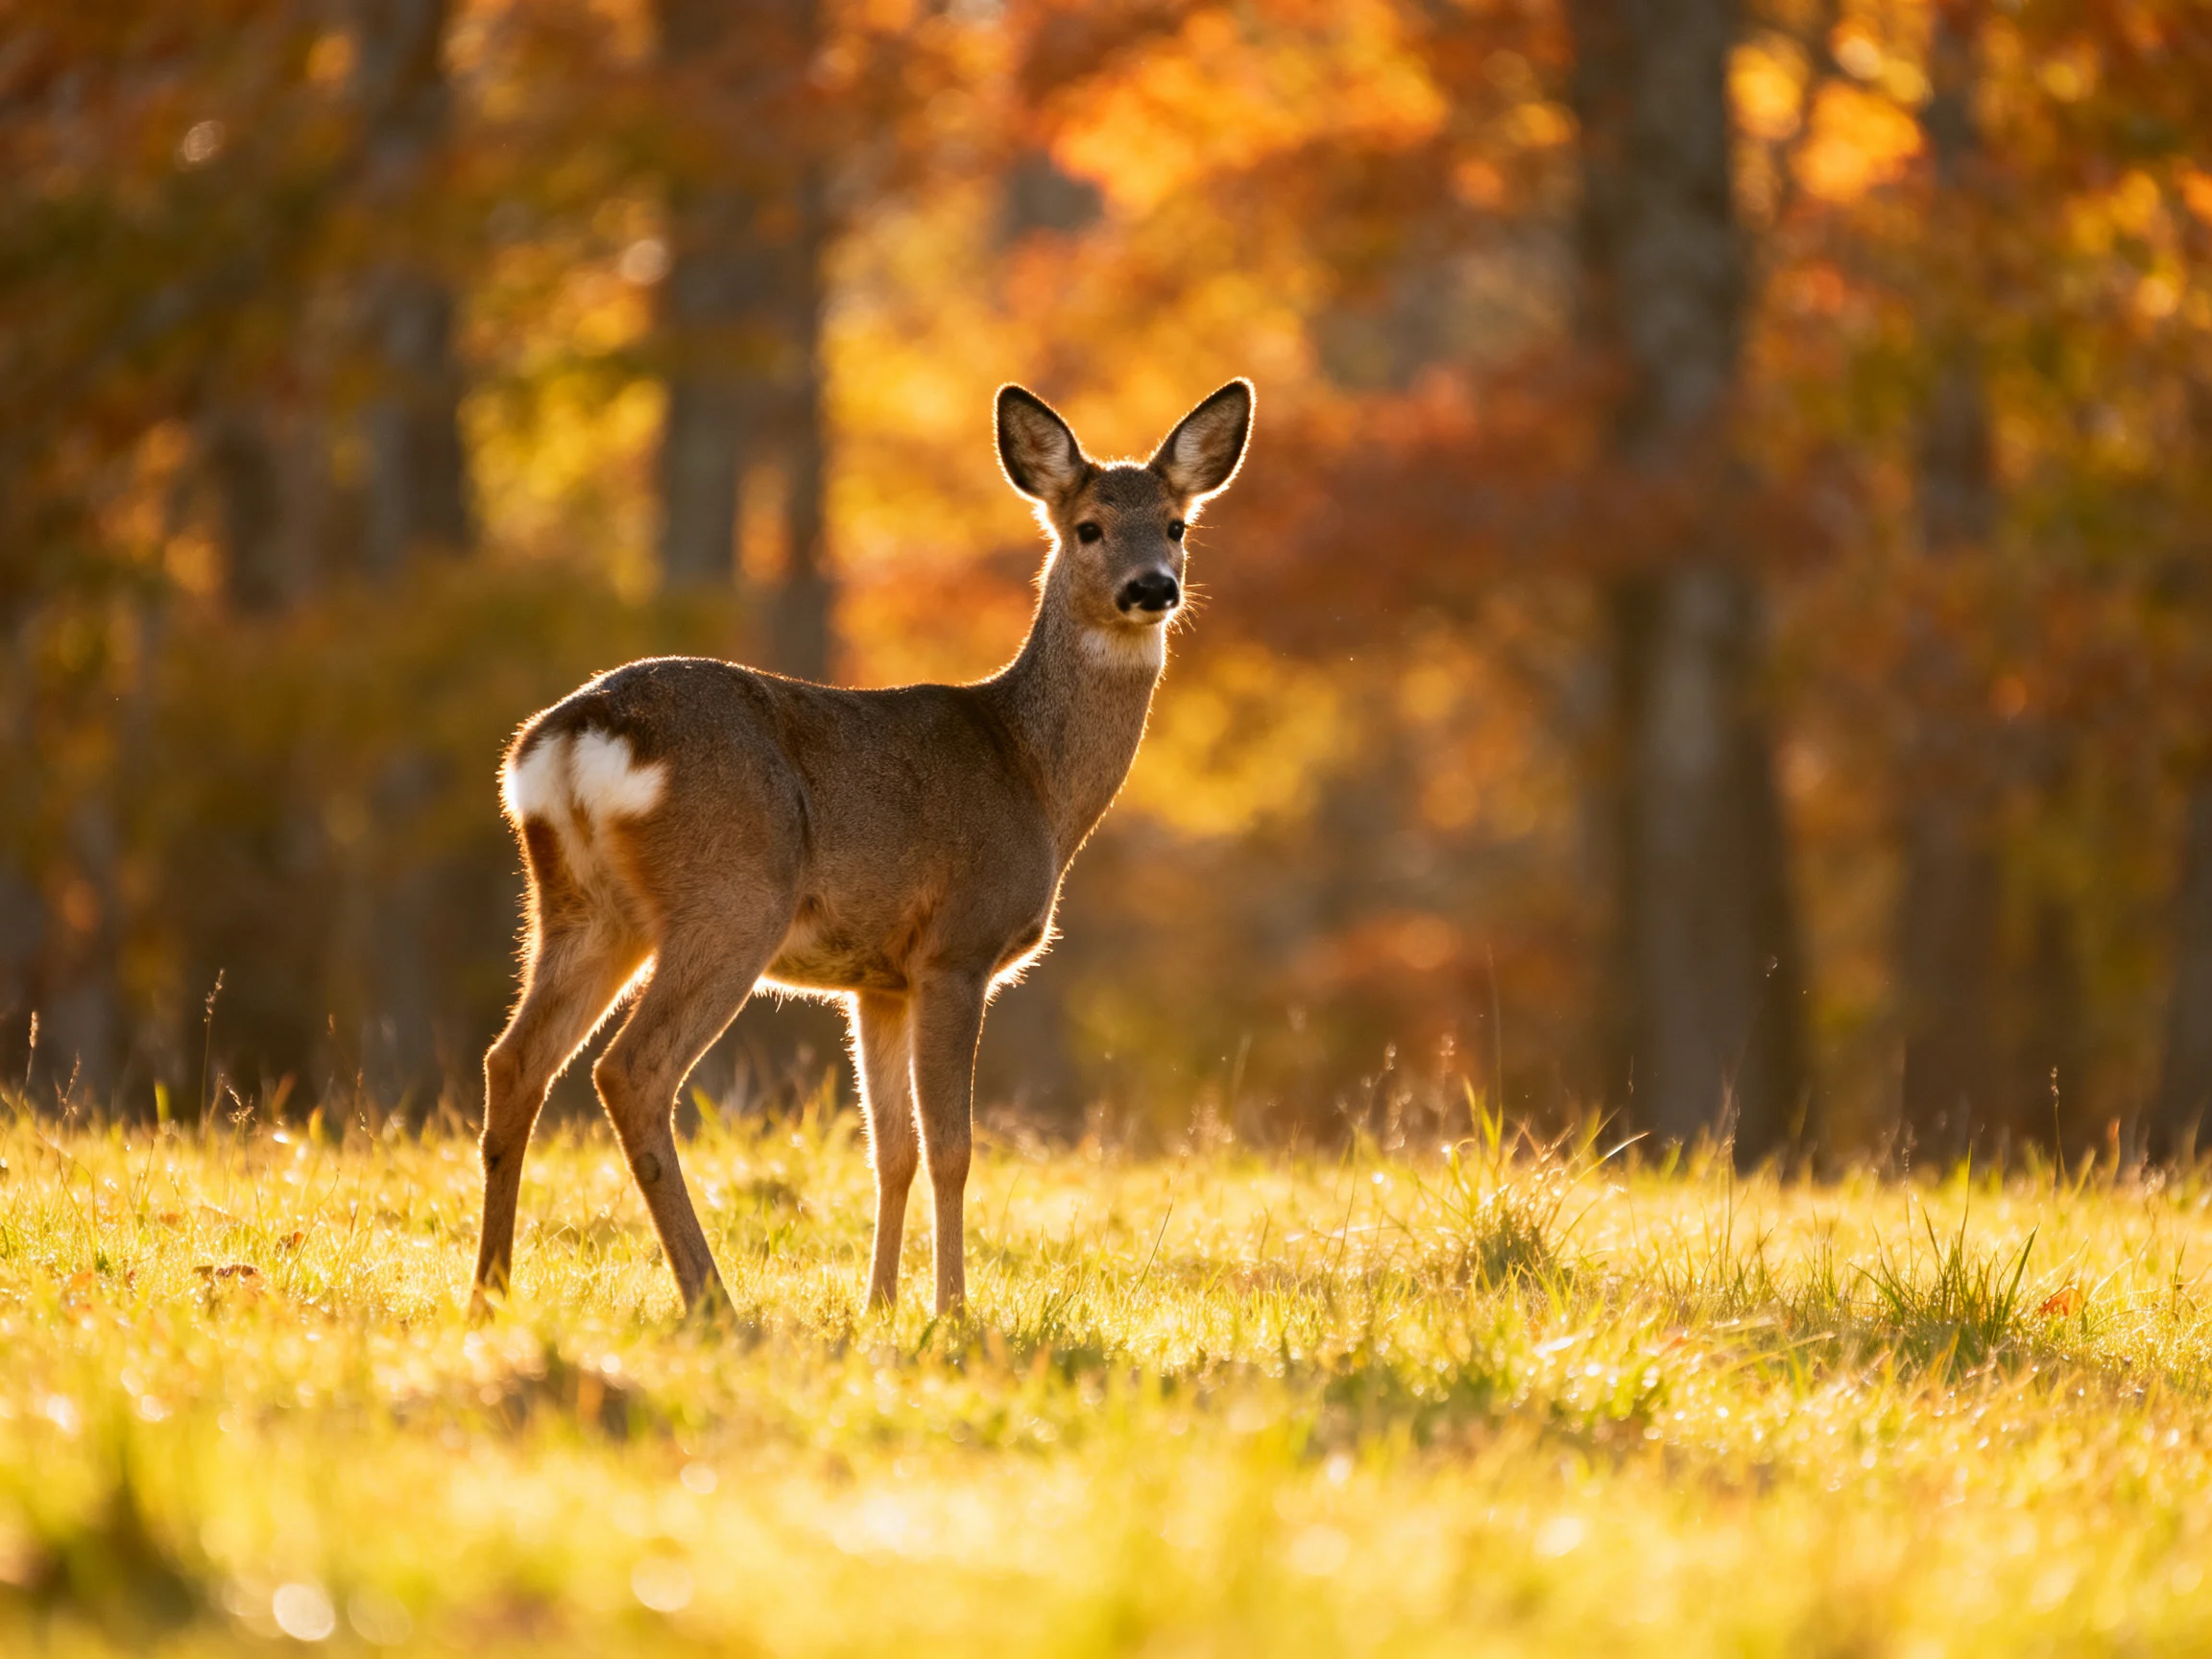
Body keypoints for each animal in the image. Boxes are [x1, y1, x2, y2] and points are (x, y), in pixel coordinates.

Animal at [470, 378, 1254, 1318]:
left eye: (1176, 525)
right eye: (1089, 527)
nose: (1152, 588)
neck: (1034, 777)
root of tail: (576, 736)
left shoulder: (876, 981)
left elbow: (892, 1149)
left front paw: (879, 1304)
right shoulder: (957, 948)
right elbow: (953, 1145)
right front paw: (951, 1309)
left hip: (579, 908)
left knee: (514, 1060)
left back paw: (489, 1293)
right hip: (731, 899)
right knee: (631, 1071)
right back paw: (712, 1298)